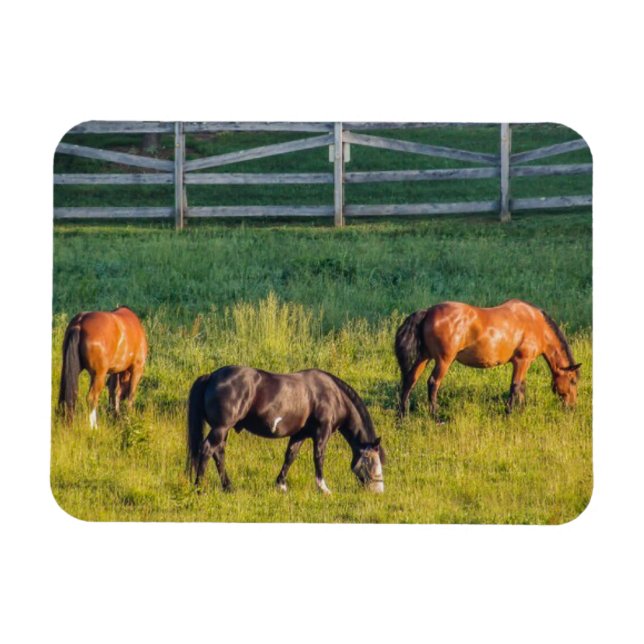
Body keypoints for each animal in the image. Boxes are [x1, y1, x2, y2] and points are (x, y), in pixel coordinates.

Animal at [186, 366, 386, 495]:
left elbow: (290, 456)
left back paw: (228, 487)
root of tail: (211, 377)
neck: (333, 395)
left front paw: (281, 485)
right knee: (207, 449)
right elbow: (319, 457)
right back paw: (199, 488)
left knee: (218, 453)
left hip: (223, 430)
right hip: (221, 428)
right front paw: (323, 488)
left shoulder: (300, 434)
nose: (378, 491)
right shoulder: (322, 432)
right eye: (372, 460)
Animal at [395, 299, 581, 419]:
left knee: (410, 379)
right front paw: (509, 413)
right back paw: (435, 416)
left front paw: (521, 411)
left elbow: (521, 387)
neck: (536, 324)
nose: (572, 407)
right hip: (443, 360)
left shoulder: (524, 363)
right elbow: (515, 387)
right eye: (573, 381)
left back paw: (403, 414)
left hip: (424, 357)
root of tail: (428, 312)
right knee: (433, 383)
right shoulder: (522, 361)